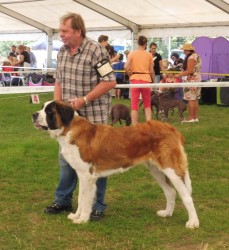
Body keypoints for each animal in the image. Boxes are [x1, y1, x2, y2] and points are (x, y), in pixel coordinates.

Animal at [31, 100, 199, 229]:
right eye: (42, 107)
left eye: (49, 111)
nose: (33, 114)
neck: (69, 129)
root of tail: (171, 128)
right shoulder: (82, 175)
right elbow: (80, 198)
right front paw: (76, 216)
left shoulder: (87, 177)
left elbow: (85, 200)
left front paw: (82, 219)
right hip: (156, 170)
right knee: (170, 192)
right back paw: (166, 213)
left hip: (171, 169)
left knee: (187, 196)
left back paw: (193, 222)